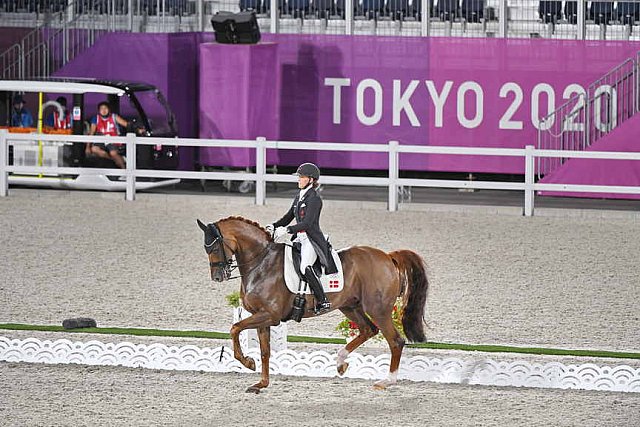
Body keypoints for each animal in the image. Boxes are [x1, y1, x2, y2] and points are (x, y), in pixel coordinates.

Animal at [198, 217, 428, 394]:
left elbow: (235, 328)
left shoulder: (270, 315)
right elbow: (265, 351)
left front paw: (248, 363)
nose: (217, 277)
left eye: (215, 246)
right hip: (350, 306)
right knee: (368, 330)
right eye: (205, 248)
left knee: (395, 341)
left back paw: (386, 381)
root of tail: (388, 257)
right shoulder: (262, 316)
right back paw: (341, 363)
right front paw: (261, 383)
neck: (261, 263)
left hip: (377, 310)